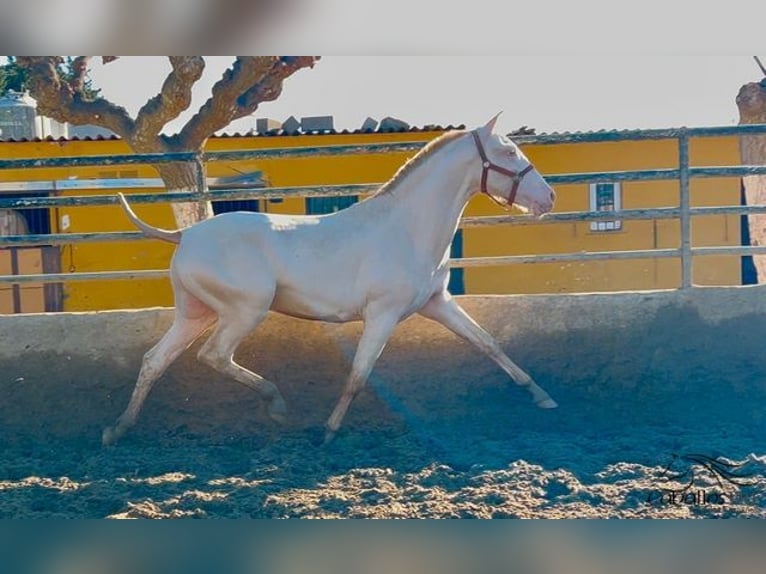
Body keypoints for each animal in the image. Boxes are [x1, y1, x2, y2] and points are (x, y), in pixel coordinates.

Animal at [102, 115, 560, 448]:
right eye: (508, 151)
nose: (548, 198)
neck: (407, 228)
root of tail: (184, 235)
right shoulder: (382, 315)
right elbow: (359, 374)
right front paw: (328, 432)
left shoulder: (438, 303)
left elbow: (488, 344)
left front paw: (543, 397)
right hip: (243, 311)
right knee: (214, 356)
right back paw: (276, 403)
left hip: (195, 314)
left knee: (154, 361)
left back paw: (117, 430)